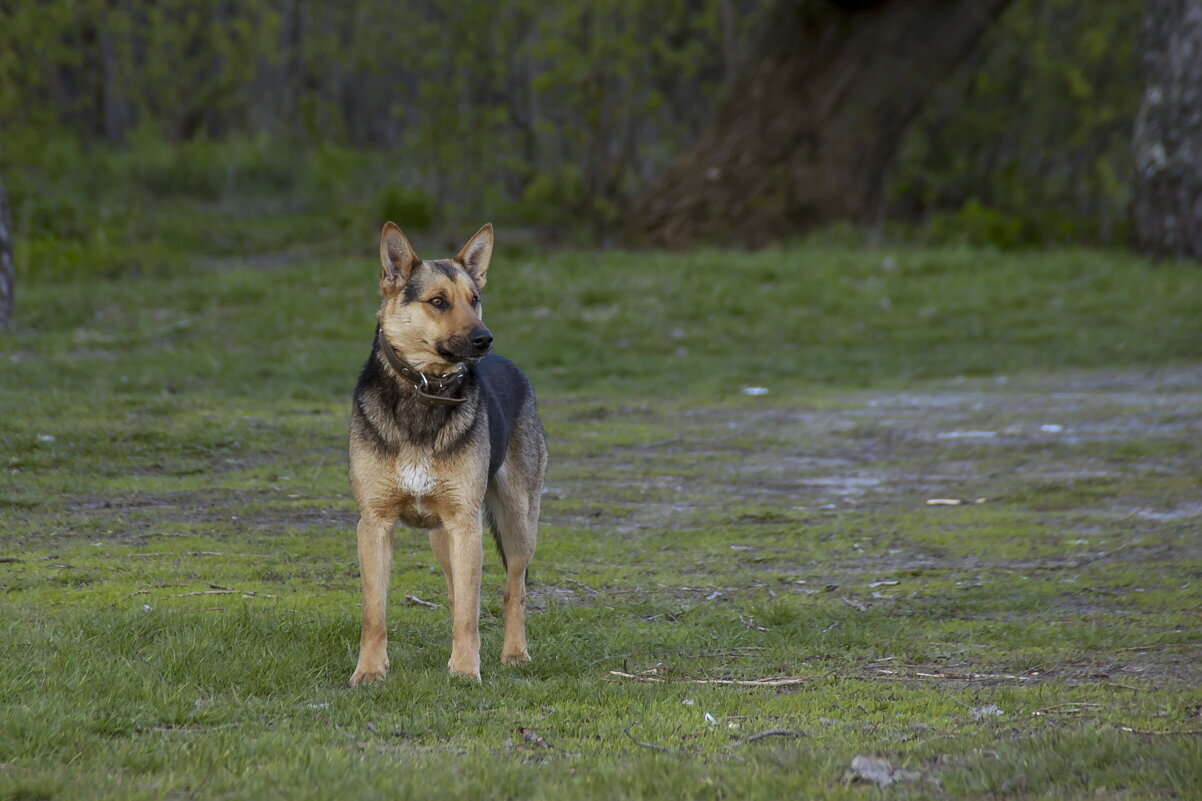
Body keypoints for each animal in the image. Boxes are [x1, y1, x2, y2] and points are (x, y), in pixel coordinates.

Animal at [346, 221, 548, 683]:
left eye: (475, 300)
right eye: (438, 301)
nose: (484, 338)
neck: (425, 390)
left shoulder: (465, 522)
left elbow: (471, 612)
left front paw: (465, 672)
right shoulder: (375, 524)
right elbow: (374, 613)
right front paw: (370, 671)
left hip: (516, 520)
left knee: (513, 589)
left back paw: (514, 654)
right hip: (444, 535)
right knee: (459, 593)